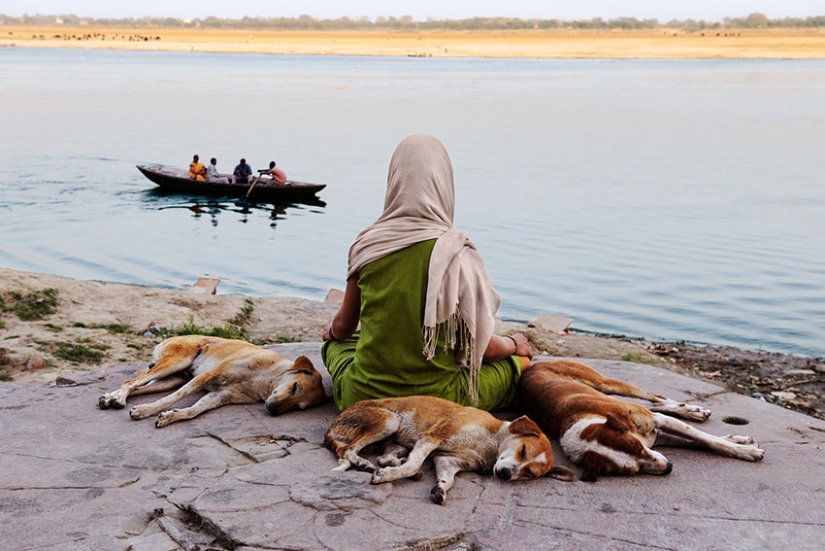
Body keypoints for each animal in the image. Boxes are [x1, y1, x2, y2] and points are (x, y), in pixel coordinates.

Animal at [99, 334, 326, 430]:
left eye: (297, 408)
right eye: (295, 386)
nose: (272, 410)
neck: (265, 380)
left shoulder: (220, 396)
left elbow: (194, 411)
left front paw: (171, 417)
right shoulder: (206, 377)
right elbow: (172, 398)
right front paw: (146, 411)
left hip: (173, 378)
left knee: (138, 386)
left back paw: (110, 398)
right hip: (176, 362)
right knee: (130, 381)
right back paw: (119, 398)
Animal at [322, 396, 572, 504]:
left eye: (529, 473)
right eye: (523, 449)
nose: (504, 474)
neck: (491, 443)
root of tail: (333, 424)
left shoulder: (447, 460)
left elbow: (447, 479)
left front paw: (440, 489)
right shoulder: (433, 437)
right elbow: (414, 462)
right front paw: (385, 477)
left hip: (396, 439)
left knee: (384, 456)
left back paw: (400, 466)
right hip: (390, 420)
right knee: (347, 450)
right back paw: (363, 462)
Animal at [520, 360, 764, 480]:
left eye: (637, 447)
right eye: (632, 470)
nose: (668, 468)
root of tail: (532, 366)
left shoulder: (657, 424)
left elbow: (708, 439)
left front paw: (743, 450)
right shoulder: (658, 439)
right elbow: (700, 442)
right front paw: (740, 442)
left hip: (607, 384)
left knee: (655, 397)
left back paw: (692, 410)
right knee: (657, 403)